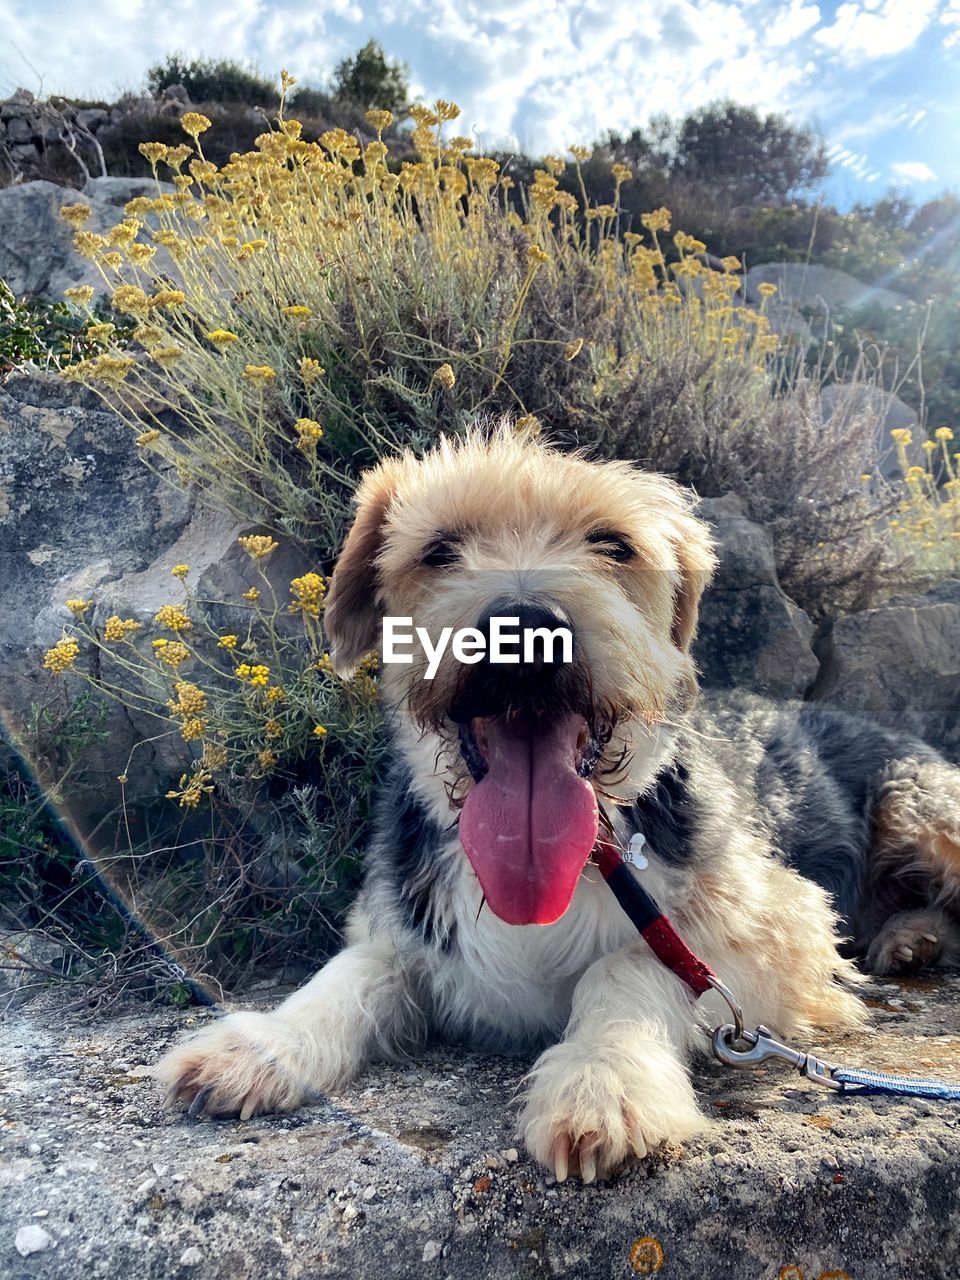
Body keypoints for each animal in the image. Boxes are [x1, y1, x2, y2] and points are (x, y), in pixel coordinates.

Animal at [154, 427, 960, 1177]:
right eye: (438, 550)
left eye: (614, 545)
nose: (525, 628)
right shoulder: (405, 922)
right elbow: (348, 974)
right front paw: (264, 1043)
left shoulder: (778, 930)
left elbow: (629, 967)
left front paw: (604, 1084)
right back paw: (909, 938)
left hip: (920, 809)